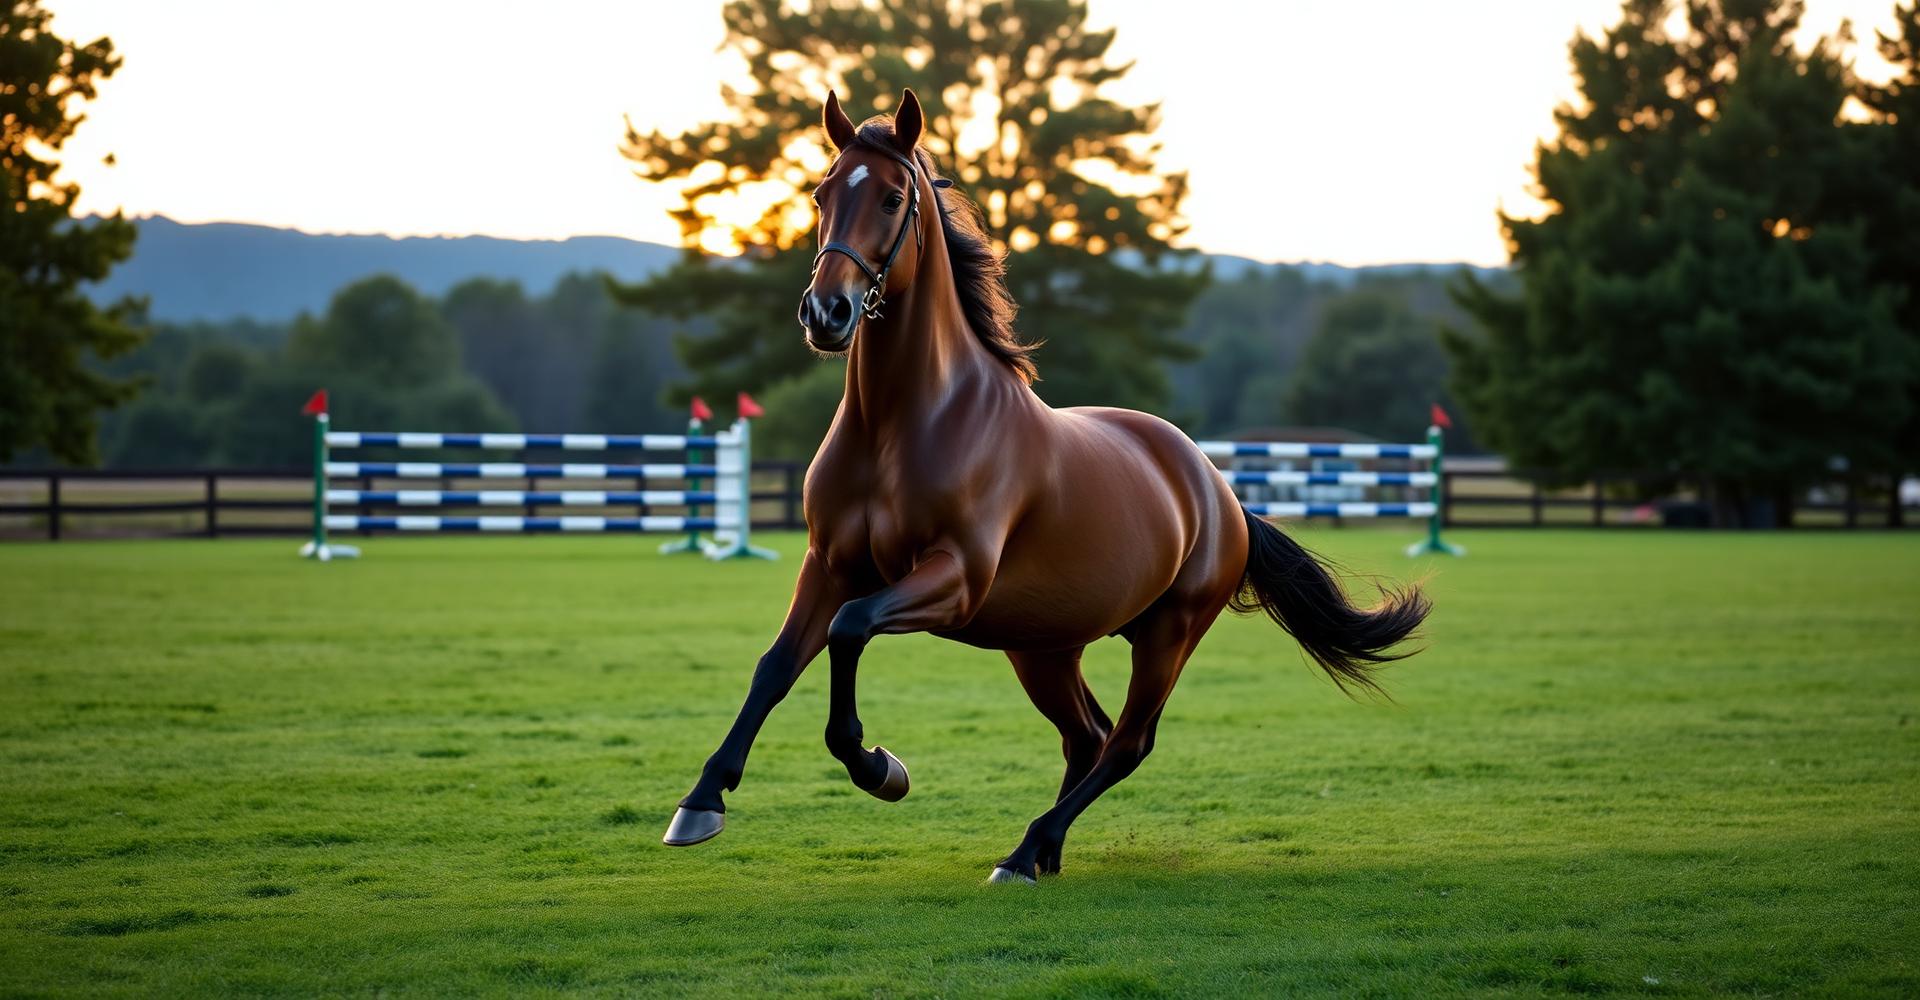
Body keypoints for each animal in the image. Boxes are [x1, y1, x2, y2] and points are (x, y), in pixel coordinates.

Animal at [663, 88, 1430, 884]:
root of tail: (1217, 491)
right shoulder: (831, 565)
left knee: (1126, 743)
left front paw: (880, 768)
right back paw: (1042, 853)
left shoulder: (952, 579)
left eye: (892, 197)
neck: (904, 423)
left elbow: (849, 631)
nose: (827, 313)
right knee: (1087, 736)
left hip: (1167, 634)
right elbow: (775, 667)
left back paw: (1027, 849)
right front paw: (701, 802)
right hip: (1043, 646)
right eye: (821, 195)